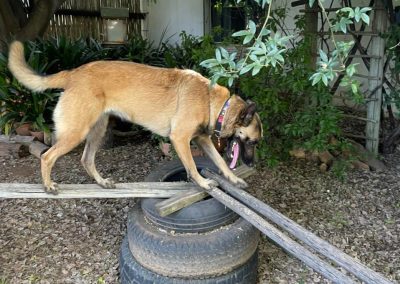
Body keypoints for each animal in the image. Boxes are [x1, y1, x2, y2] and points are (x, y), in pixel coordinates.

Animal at [7, 41, 262, 193]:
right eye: (252, 142)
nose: (252, 164)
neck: (212, 102)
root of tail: (73, 73)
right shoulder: (180, 139)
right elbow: (191, 165)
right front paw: (201, 182)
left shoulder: (202, 140)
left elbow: (220, 162)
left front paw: (233, 179)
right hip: (75, 133)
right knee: (47, 156)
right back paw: (48, 185)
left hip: (96, 131)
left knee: (86, 160)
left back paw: (101, 182)